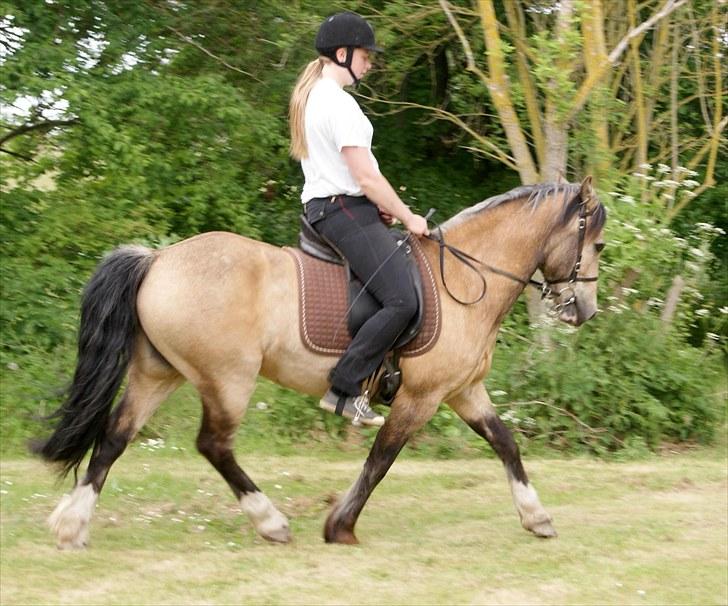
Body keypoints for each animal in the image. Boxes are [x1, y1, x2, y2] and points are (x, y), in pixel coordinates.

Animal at [34, 177, 606, 549]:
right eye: (596, 243)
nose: (583, 311)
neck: (465, 278)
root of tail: (157, 260)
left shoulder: (464, 391)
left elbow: (505, 443)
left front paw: (536, 517)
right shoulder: (421, 397)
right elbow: (380, 458)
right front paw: (340, 526)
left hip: (159, 373)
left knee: (115, 436)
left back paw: (70, 524)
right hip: (227, 379)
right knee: (213, 445)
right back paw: (270, 522)